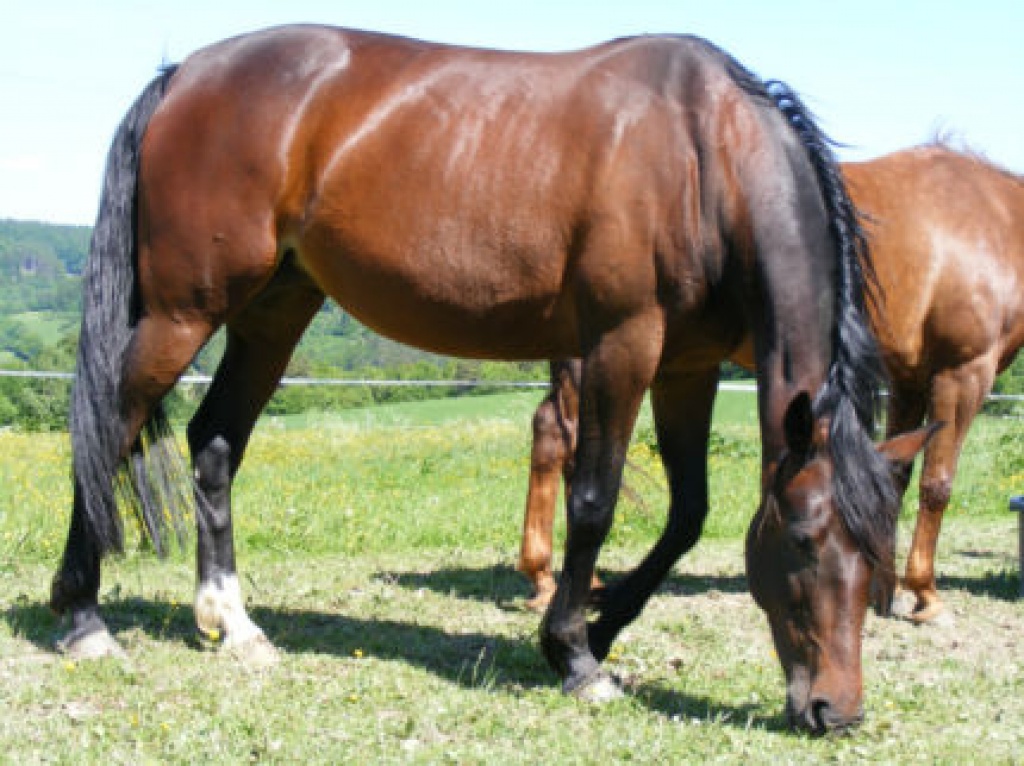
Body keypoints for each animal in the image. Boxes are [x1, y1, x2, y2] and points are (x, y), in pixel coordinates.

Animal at [51, 24, 901, 733]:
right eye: (804, 541)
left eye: (877, 555)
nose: (835, 710)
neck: (702, 154)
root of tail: (185, 74)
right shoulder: (622, 344)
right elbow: (593, 501)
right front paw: (576, 655)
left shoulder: (686, 366)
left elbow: (688, 514)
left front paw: (597, 628)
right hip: (181, 313)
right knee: (106, 433)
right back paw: (82, 619)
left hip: (273, 311)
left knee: (215, 443)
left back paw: (232, 622)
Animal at [517, 144, 1019, 625]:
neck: (992, 218)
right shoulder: (963, 372)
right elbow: (937, 484)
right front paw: (925, 595)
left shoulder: (909, 381)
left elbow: (893, 480)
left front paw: (885, 589)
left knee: (549, 434)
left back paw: (545, 578)